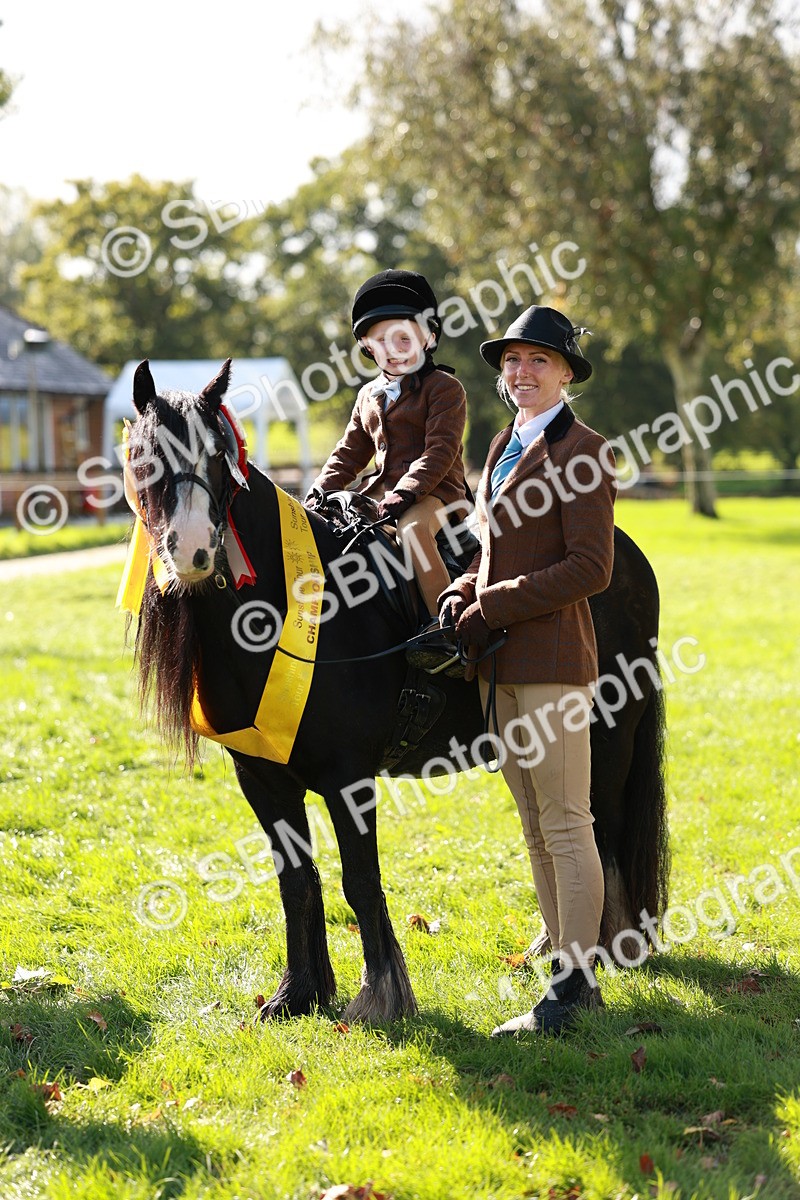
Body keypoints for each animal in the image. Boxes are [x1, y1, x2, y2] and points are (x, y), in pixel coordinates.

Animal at [121, 358, 669, 1023]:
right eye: (145, 456)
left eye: (219, 455)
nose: (195, 550)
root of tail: (627, 557)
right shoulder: (262, 779)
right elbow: (296, 881)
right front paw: (299, 992)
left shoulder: (347, 779)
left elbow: (359, 880)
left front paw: (381, 995)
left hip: (608, 738)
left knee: (599, 832)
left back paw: (604, 956)